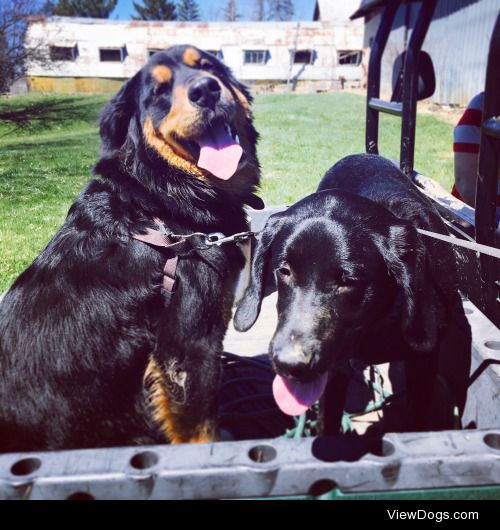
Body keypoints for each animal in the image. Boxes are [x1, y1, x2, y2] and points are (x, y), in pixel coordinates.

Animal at [0, 46, 264, 450]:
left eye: (208, 66)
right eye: (158, 92)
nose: (205, 90)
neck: (164, 197)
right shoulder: (188, 346)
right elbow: (200, 429)